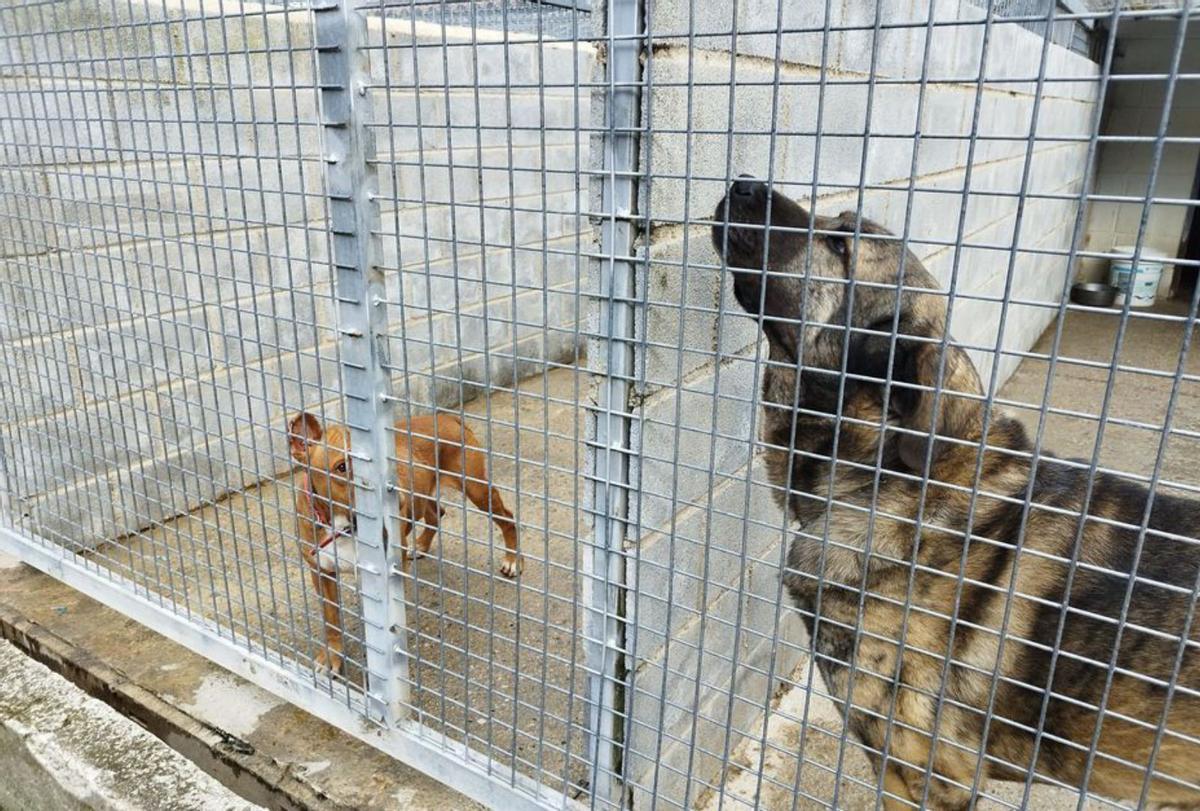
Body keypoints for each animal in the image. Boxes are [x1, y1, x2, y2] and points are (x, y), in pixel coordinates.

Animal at [289, 412, 520, 671]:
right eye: (341, 467)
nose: (393, 495)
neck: (343, 526)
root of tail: (446, 416)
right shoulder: (321, 572)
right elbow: (330, 619)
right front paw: (331, 656)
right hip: (424, 494)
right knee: (436, 513)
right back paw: (421, 545)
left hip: (476, 489)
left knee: (507, 519)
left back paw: (512, 560)